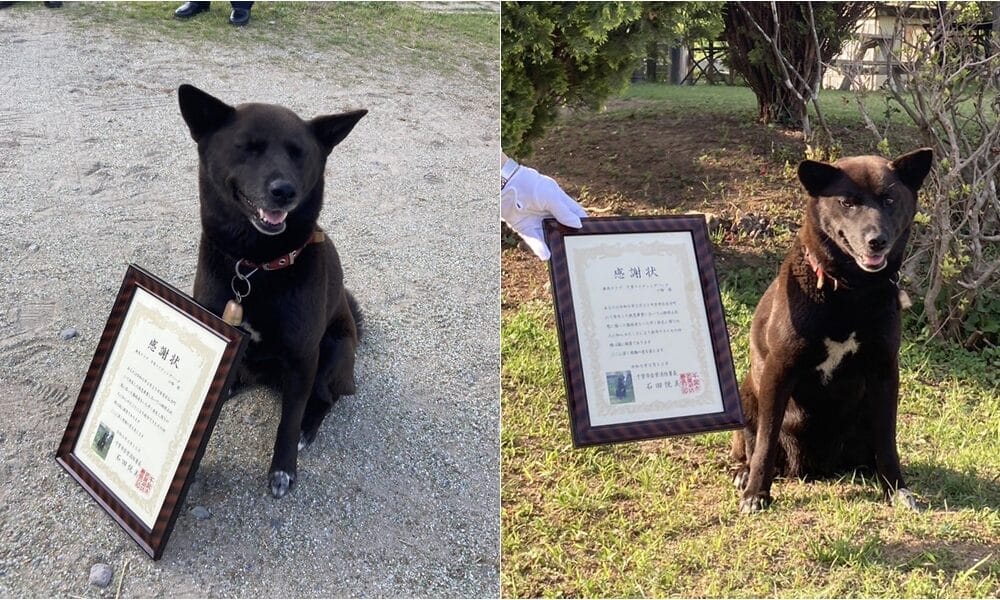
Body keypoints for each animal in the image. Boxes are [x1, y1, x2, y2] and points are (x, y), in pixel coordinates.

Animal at [179, 83, 368, 496]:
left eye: (299, 153)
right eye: (248, 147)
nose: (284, 191)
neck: (254, 265)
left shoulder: (302, 358)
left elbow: (288, 421)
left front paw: (283, 468)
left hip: (333, 350)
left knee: (326, 398)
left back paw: (310, 427)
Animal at [732, 148, 932, 512]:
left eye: (889, 199)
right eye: (847, 202)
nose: (877, 241)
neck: (850, 292)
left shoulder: (884, 371)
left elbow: (888, 441)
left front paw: (897, 489)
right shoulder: (779, 370)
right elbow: (766, 441)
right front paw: (756, 494)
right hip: (746, 396)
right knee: (751, 445)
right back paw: (743, 472)